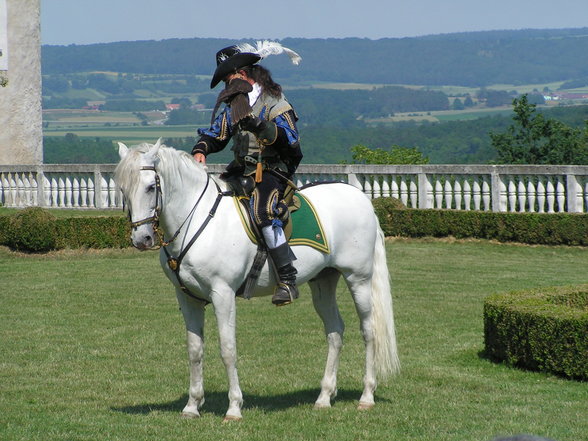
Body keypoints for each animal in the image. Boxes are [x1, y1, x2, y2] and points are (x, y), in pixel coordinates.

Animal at [113, 140, 400, 420]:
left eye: (151, 187)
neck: (198, 219)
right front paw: (192, 406)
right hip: (323, 281)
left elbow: (228, 349)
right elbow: (195, 350)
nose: (142, 239)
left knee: (369, 331)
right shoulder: (187, 297)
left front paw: (234, 408)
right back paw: (324, 397)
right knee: (335, 331)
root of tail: (361, 199)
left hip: (358, 278)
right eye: (123, 188)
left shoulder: (223, 294)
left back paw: (366, 396)